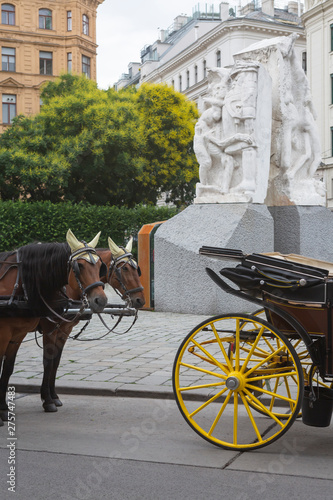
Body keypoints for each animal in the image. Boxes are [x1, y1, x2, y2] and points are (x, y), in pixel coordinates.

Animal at [0, 229, 107, 424]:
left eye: (99, 266)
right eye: (79, 266)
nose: (100, 300)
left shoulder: (21, 334)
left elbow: (13, 367)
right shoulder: (39, 329)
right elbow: (48, 362)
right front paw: (48, 400)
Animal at [38, 236, 144, 412]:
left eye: (137, 268)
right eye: (125, 269)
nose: (140, 300)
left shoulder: (64, 330)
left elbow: (55, 361)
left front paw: (54, 396)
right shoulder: (50, 329)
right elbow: (48, 361)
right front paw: (47, 400)